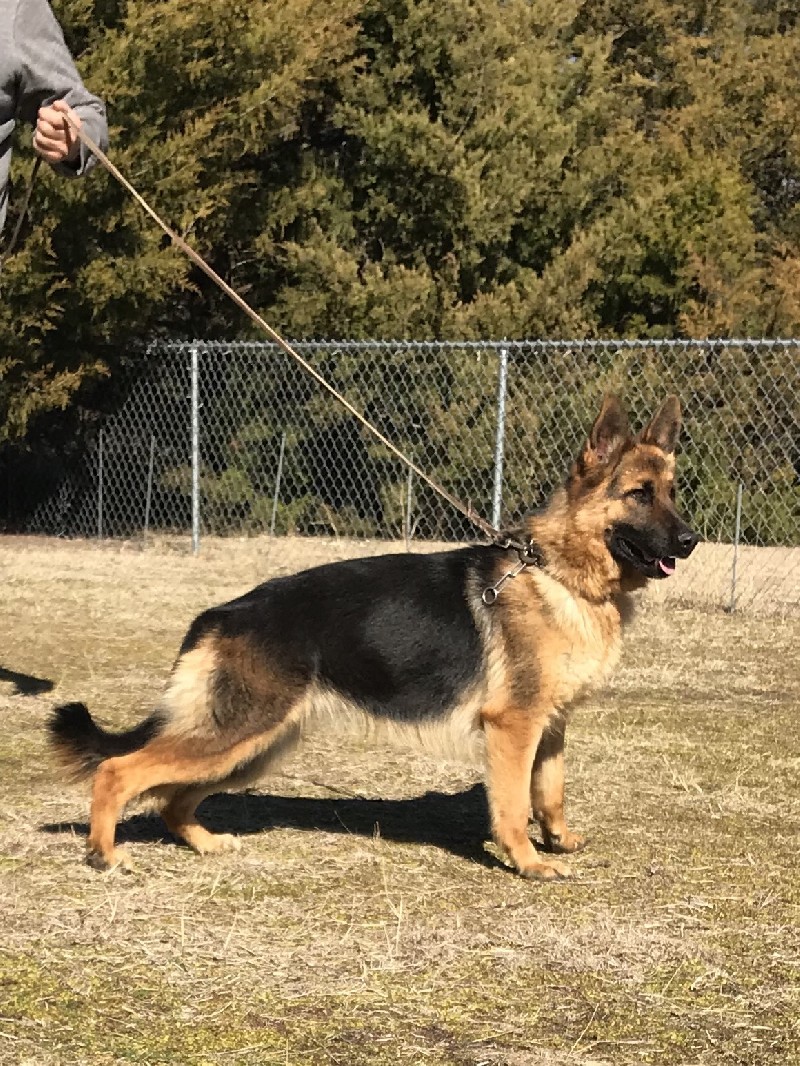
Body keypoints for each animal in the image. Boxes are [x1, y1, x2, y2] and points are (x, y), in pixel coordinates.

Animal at [51, 396, 699, 878]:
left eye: (672, 492)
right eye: (639, 494)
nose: (691, 541)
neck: (558, 572)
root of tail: (221, 612)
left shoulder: (551, 724)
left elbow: (552, 791)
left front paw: (558, 840)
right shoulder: (513, 728)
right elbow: (515, 805)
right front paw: (528, 861)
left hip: (255, 744)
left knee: (172, 797)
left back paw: (204, 842)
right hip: (239, 733)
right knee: (120, 772)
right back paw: (104, 853)